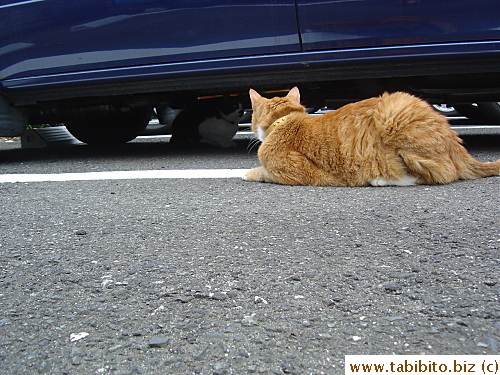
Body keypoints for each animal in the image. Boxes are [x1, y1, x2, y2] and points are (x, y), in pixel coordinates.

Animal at [244, 88, 498, 188]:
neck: (285, 120)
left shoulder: (297, 173)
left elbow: (261, 171)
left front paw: (248, 173)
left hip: (393, 112)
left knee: (440, 173)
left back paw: (381, 179)